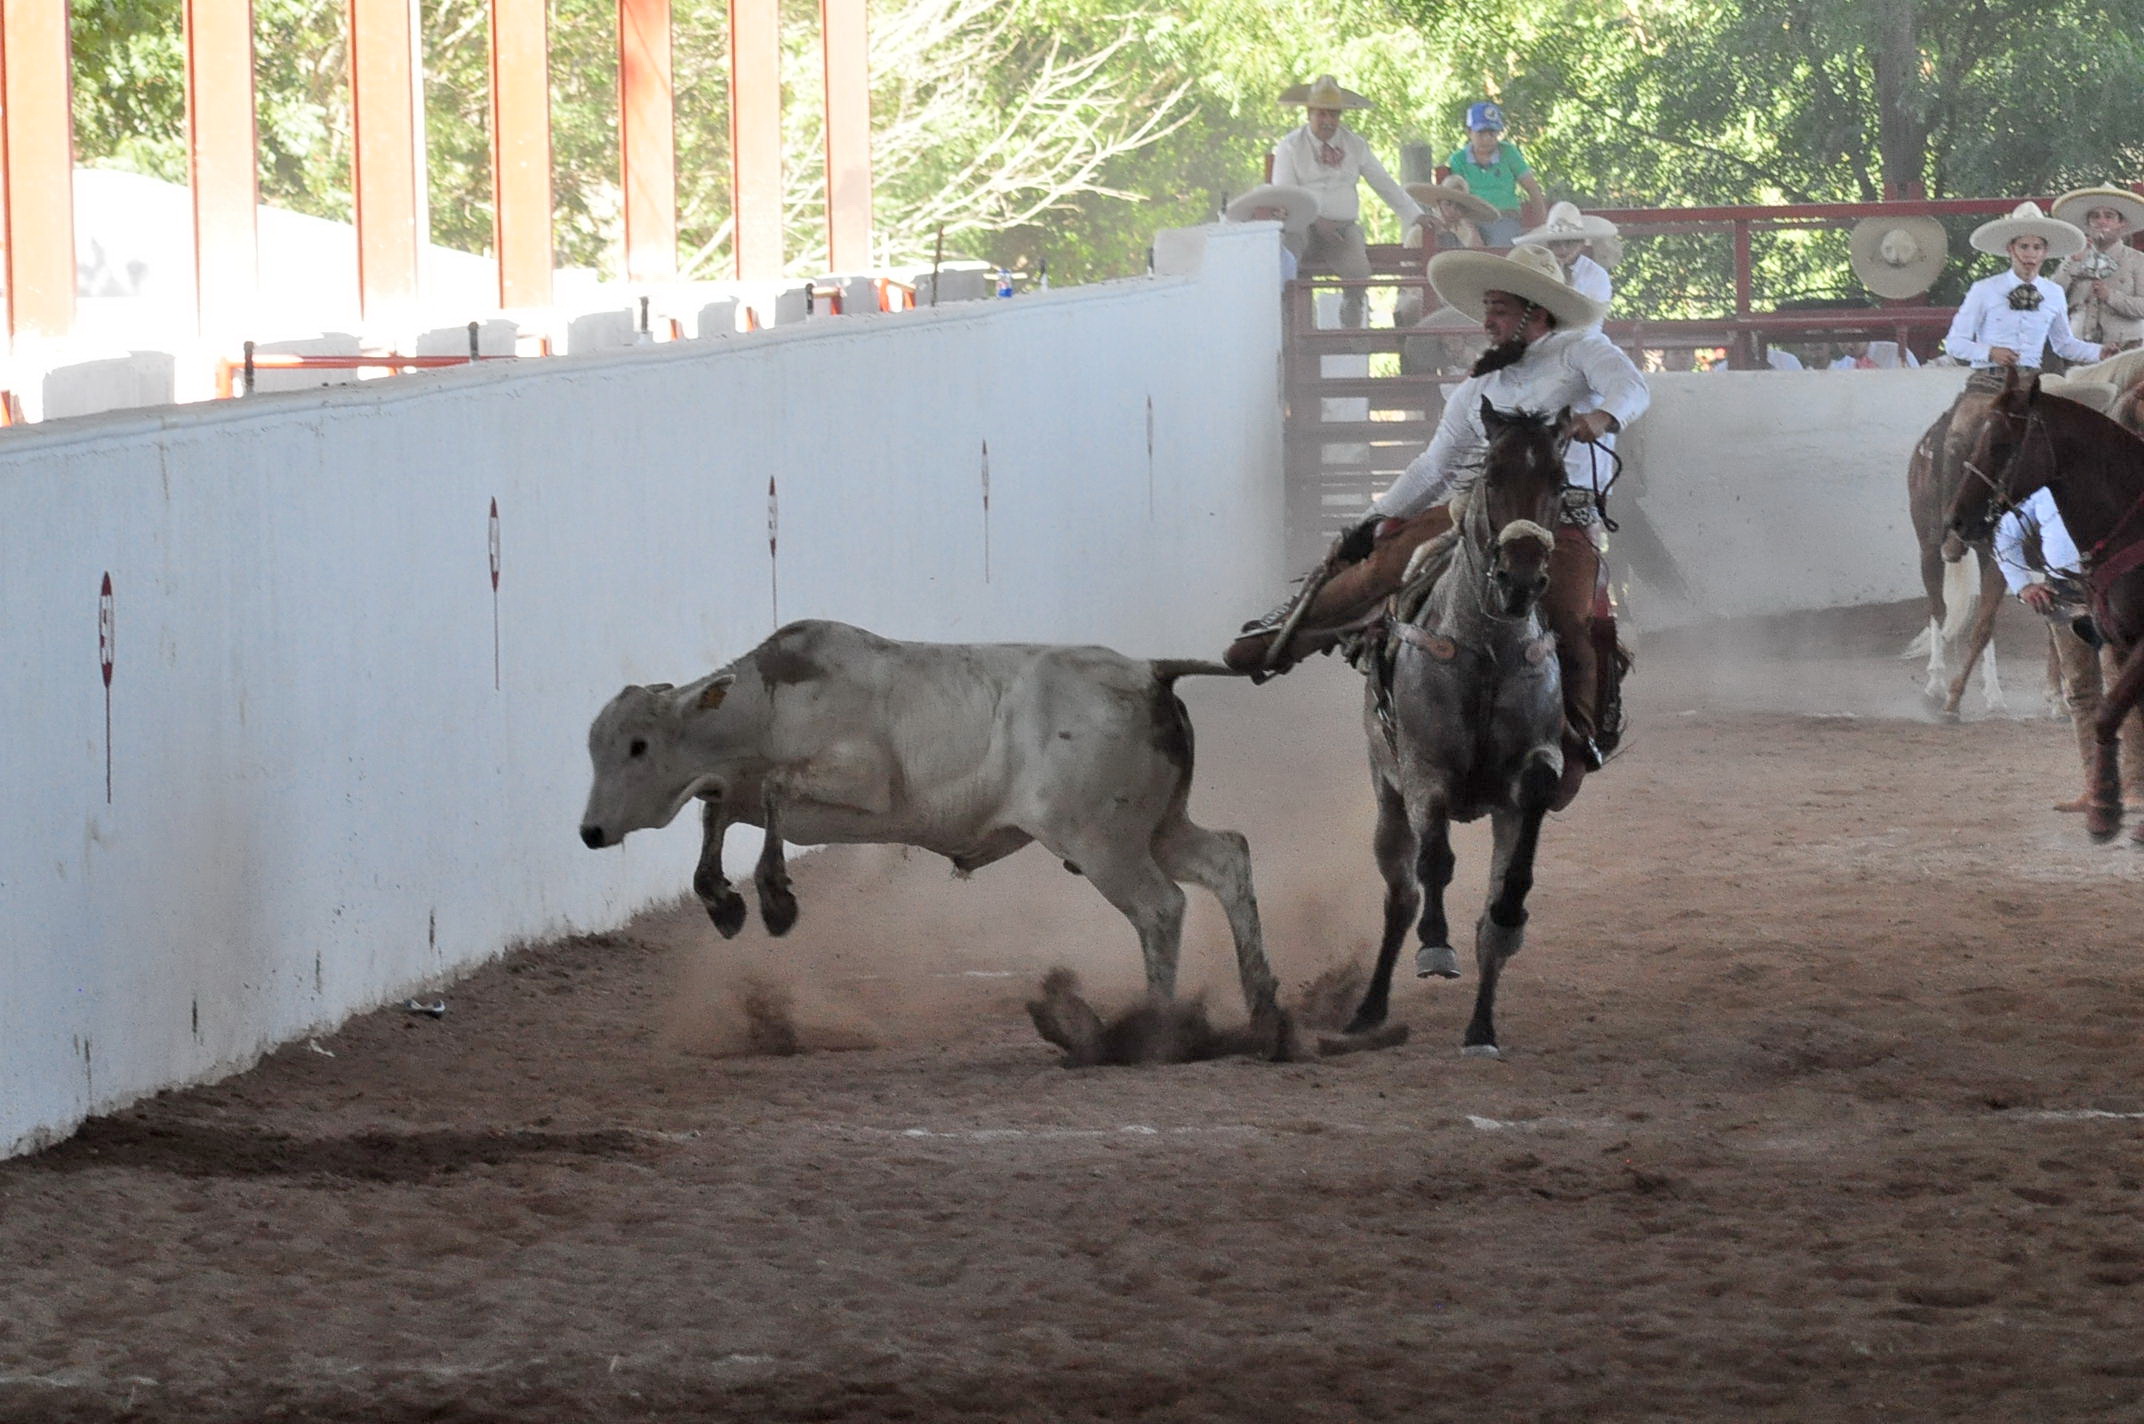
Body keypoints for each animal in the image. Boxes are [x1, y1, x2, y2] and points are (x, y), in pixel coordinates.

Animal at [1346, 403, 1569, 1055]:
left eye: (1560, 478)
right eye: (1491, 475)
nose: (1521, 578)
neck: (1489, 653)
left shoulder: (1534, 768)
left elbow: (1515, 861)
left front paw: (1510, 908)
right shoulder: (1425, 774)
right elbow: (1436, 864)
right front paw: (1436, 946)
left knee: (1490, 934)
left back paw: (1480, 1029)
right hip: (1386, 799)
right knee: (1401, 896)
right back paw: (1369, 1008)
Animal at [1955, 362, 2144, 844]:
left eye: (2000, 443)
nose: (1956, 520)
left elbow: (2111, 713)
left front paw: (2104, 810)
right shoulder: (2121, 643)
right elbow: (2114, 714)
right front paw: (2106, 807)